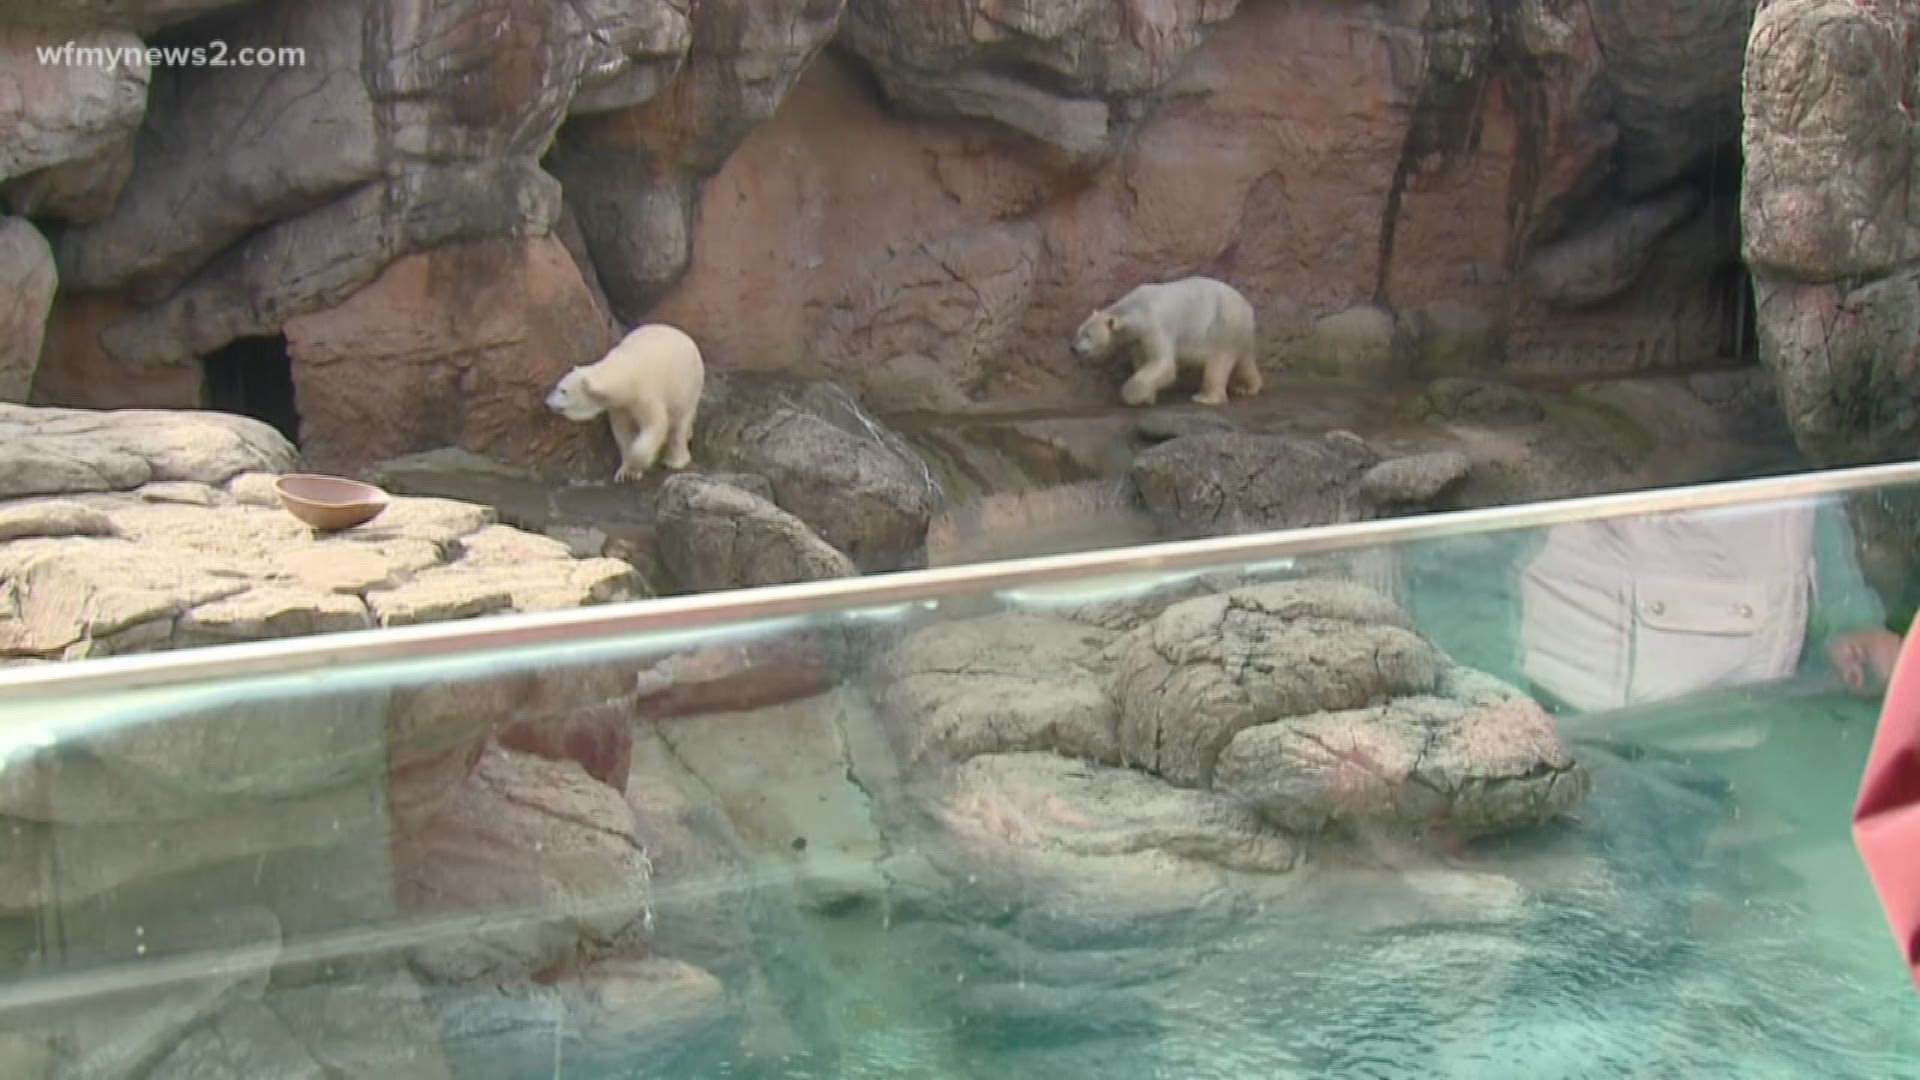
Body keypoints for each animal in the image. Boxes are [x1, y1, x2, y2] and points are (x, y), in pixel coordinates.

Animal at [545, 320, 710, 480]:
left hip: (686, 385)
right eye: (559, 386)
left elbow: (655, 424)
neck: (626, 373)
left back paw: (675, 460)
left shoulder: (645, 394)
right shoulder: (620, 405)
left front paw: (641, 463)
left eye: (563, 390)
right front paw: (627, 471)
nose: (547, 402)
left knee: (680, 421)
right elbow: (622, 431)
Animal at [1075, 274, 1267, 405]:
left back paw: (1205, 397)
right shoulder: (1136, 338)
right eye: (1079, 331)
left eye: (1088, 335)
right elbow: (1142, 361)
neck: (1136, 310)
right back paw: (1245, 388)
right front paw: (1148, 396)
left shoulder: (1154, 325)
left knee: (1218, 363)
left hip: (1223, 325)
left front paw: (1132, 396)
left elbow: (1162, 362)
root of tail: (1247, 307)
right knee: (1244, 361)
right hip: (1238, 331)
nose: (1073, 348)